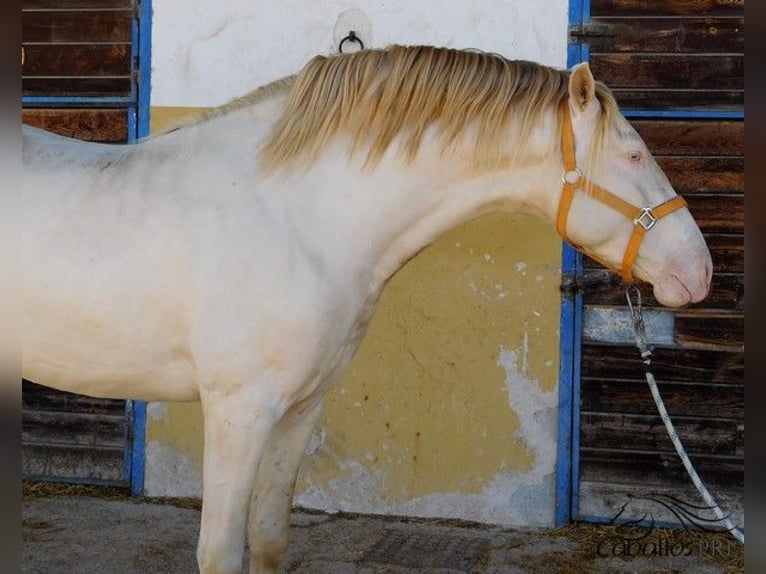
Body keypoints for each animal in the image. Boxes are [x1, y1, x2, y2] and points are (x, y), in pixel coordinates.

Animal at [22, 46, 712, 574]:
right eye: (633, 155)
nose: (699, 271)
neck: (297, 216)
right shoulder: (238, 412)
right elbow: (219, 554)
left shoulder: (299, 409)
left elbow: (268, 538)